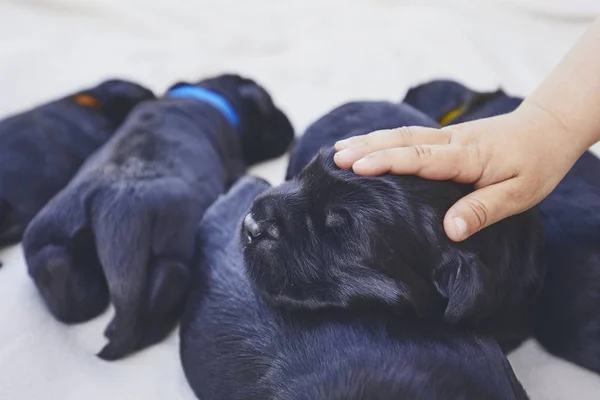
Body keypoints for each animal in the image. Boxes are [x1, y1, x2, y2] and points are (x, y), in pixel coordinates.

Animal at [23, 74, 296, 360]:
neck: (203, 94)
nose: (289, 125)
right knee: (167, 278)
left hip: (51, 230)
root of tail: (117, 203)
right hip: (174, 247)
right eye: (269, 107)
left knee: (62, 275)